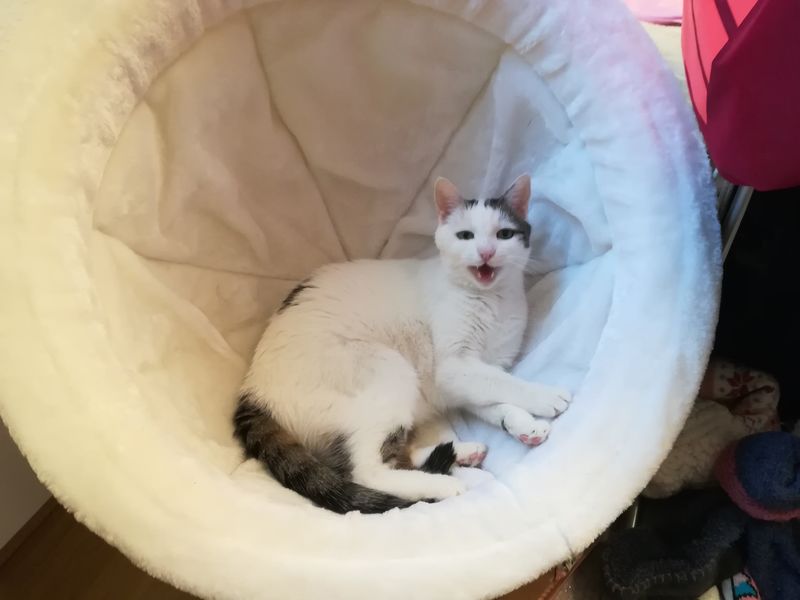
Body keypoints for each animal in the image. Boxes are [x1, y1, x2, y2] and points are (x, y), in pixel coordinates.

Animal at [233, 174, 572, 514]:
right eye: (465, 235)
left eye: (504, 234)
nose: (486, 252)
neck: (492, 301)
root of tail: (254, 392)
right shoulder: (454, 367)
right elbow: (506, 384)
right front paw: (546, 396)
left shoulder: (468, 378)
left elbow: (495, 397)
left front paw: (524, 424)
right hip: (388, 369)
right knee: (367, 472)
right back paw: (446, 484)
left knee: (399, 455)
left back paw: (463, 453)